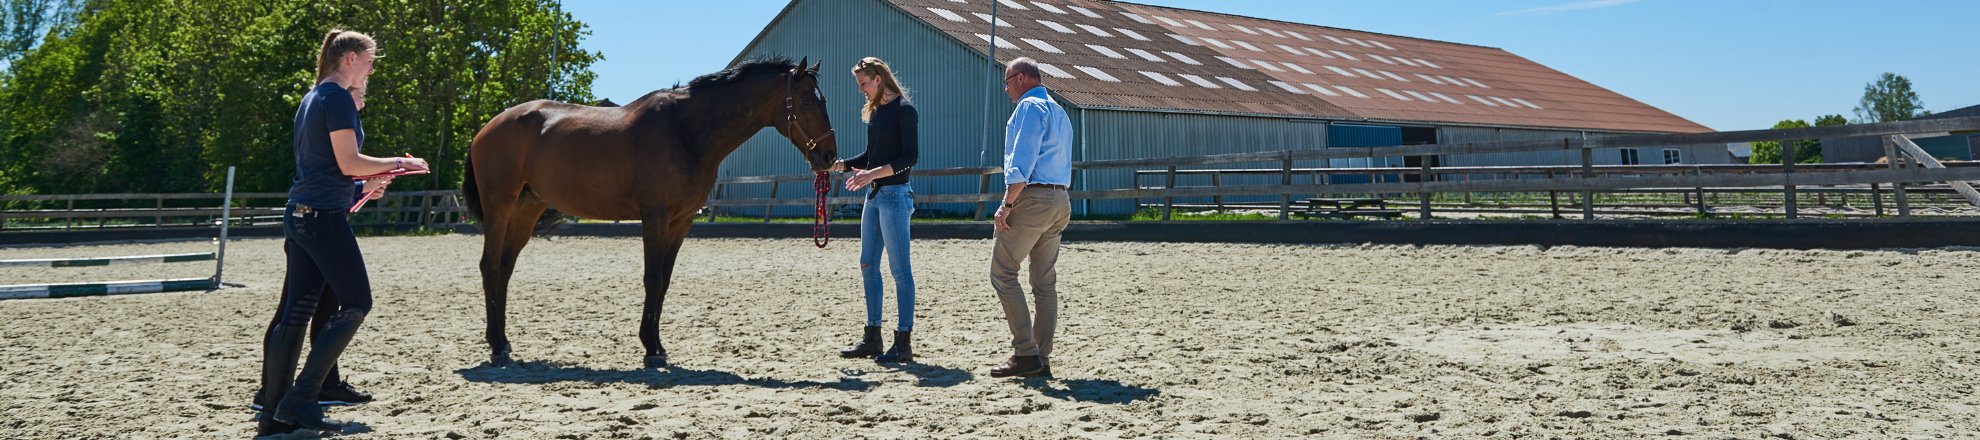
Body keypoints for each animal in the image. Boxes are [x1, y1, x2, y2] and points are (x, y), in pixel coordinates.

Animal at [462, 57, 839, 368]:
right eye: (807, 100)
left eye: (824, 100)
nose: (829, 157)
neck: (686, 131)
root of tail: (487, 127)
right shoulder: (655, 217)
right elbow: (652, 278)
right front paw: (650, 349)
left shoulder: (681, 221)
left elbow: (664, 281)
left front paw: (657, 346)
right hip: (499, 206)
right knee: (489, 267)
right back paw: (496, 347)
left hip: (527, 209)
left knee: (505, 269)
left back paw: (505, 342)